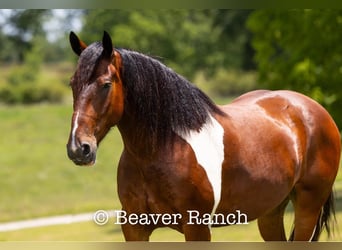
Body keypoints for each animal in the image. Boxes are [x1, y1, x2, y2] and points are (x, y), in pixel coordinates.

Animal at [66, 30, 340, 240]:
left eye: (106, 84)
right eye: (72, 84)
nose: (79, 148)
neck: (163, 149)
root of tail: (313, 108)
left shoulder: (196, 227)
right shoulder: (135, 227)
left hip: (307, 209)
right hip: (271, 211)